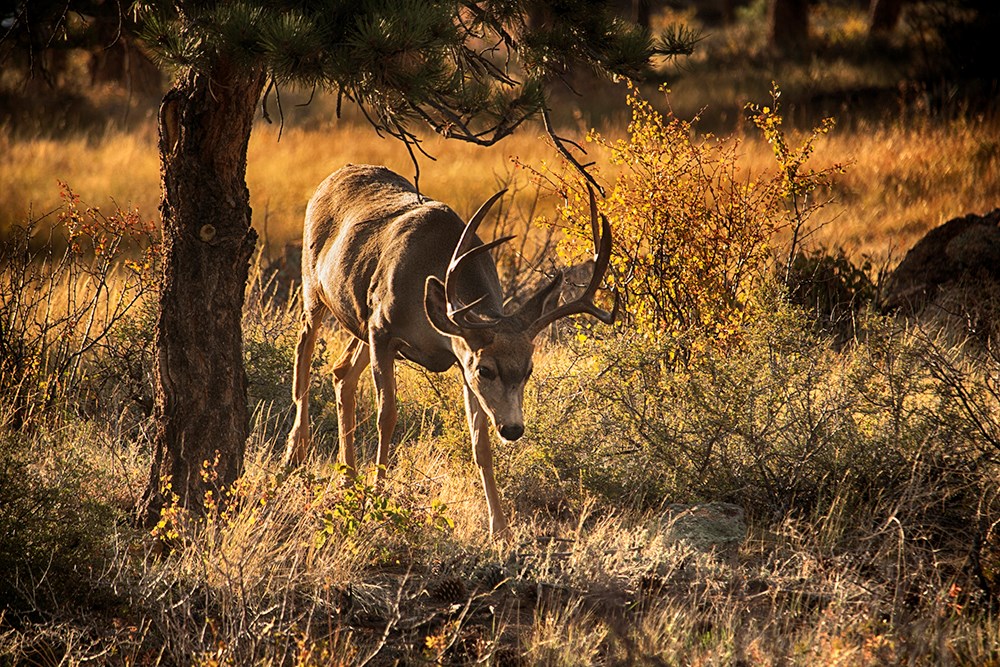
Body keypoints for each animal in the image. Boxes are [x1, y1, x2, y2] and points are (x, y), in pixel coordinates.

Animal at [284, 166, 616, 536]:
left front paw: (500, 527)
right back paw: (296, 454)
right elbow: (387, 417)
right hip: (314, 287)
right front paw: (376, 502)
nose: (513, 429)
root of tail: (338, 173)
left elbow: (480, 441)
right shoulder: (383, 330)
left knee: (341, 372)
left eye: (529, 370)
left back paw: (348, 481)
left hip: (359, 322)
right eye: (486, 369)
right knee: (303, 352)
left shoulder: (456, 356)